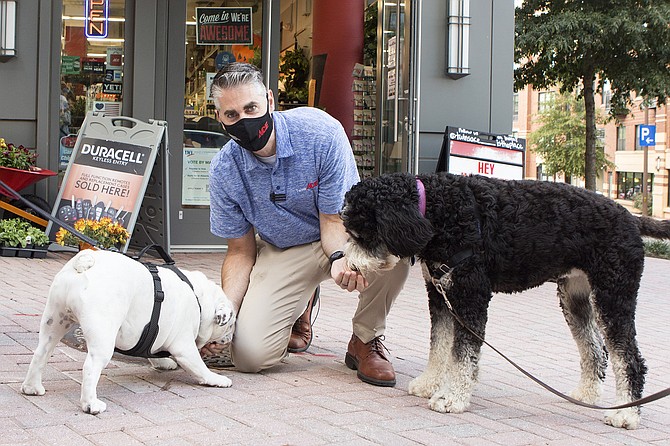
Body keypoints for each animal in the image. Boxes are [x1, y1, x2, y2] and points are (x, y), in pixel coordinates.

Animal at [342, 171, 670, 428]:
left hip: (614, 296)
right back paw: (586, 395)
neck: (438, 210)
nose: (348, 263)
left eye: (361, 234)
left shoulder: (470, 296)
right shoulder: (440, 296)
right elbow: (439, 345)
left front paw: (452, 397)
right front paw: (428, 383)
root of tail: (630, 217)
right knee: (595, 350)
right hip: (575, 299)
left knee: (629, 358)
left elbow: (462, 355)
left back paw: (626, 415)